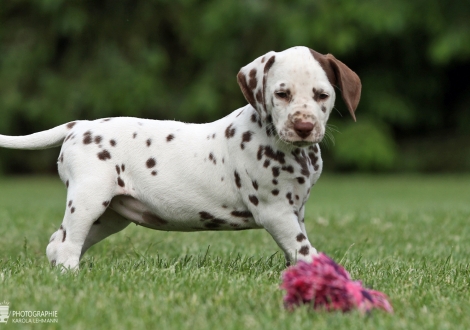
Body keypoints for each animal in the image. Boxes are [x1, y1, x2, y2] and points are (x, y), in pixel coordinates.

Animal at [0, 46, 362, 270]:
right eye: (282, 94)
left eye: (322, 95)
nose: (304, 127)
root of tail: (79, 126)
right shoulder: (276, 212)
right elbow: (305, 250)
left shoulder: (296, 210)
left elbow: (296, 253)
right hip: (89, 200)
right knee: (66, 246)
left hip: (111, 214)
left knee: (56, 242)